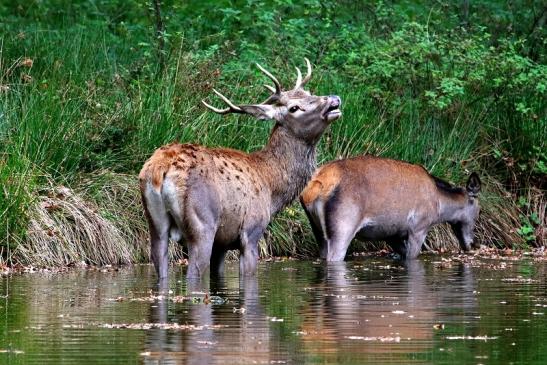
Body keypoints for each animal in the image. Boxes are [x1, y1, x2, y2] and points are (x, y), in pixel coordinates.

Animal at [139, 60, 340, 278]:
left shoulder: (222, 244)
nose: (334, 98)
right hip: (202, 224)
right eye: (294, 108)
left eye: (310, 92)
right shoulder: (251, 231)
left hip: (155, 223)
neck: (272, 187)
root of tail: (160, 168)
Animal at [302, 155, 482, 260]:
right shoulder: (419, 227)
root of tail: (314, 188)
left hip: (317, 229)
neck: (439, 206)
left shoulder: (391, 233)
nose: (474, 244)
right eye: (478, 212)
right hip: (343, 224)